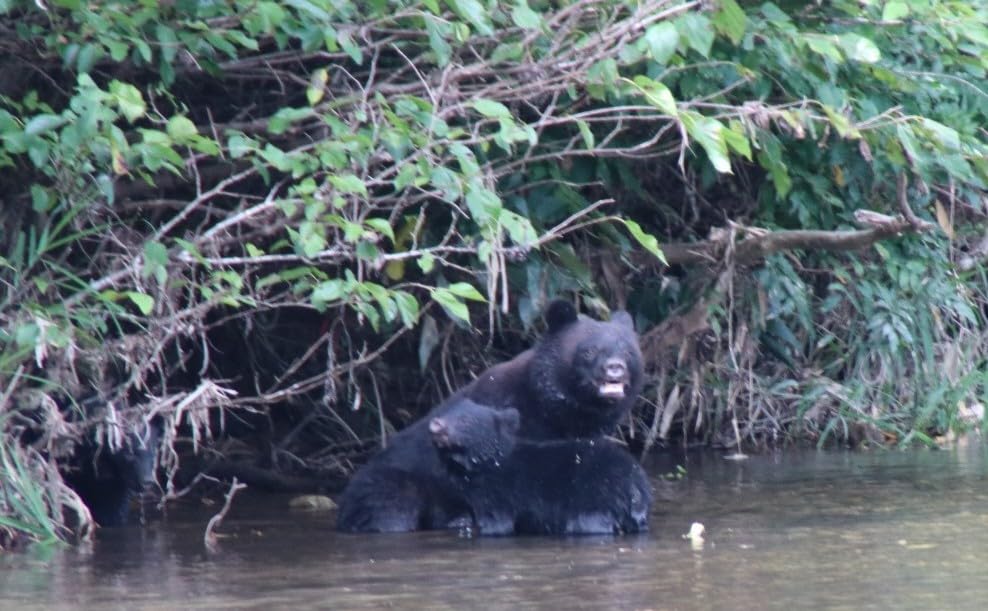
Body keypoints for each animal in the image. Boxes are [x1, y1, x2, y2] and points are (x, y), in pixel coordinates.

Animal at [428, 400, 652, 532]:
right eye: (446, 411)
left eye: (465, 420)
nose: (436, 425)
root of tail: (636, 482)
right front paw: (458, 521)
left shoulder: (500, 494)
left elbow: (498, 523)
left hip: (595, 497)